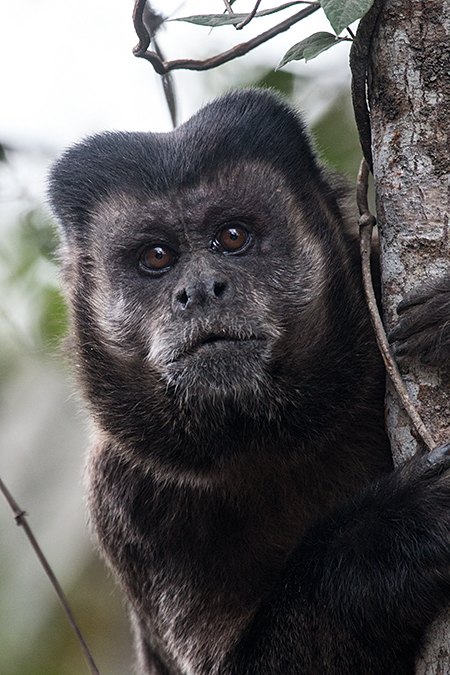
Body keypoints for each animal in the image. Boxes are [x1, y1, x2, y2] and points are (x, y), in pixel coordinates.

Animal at [50, 90, 450, 675]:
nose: (199, 290)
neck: (270, 438)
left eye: (232, 237)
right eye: (156, 257)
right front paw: (393, 530)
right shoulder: (126, 503)